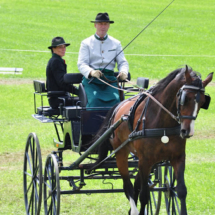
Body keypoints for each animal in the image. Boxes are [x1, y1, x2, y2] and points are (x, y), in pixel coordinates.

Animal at [86, 66, 212, 215]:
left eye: (203, 101)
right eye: (184, 98)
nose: (187, 131)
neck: (162, 124)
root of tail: (118, 106)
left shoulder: (177, 158)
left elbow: (181, 191)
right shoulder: (145, 161)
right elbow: (144, 195)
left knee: (136, 184)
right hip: (122, 153)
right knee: (128, 185)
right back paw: (134, 210)